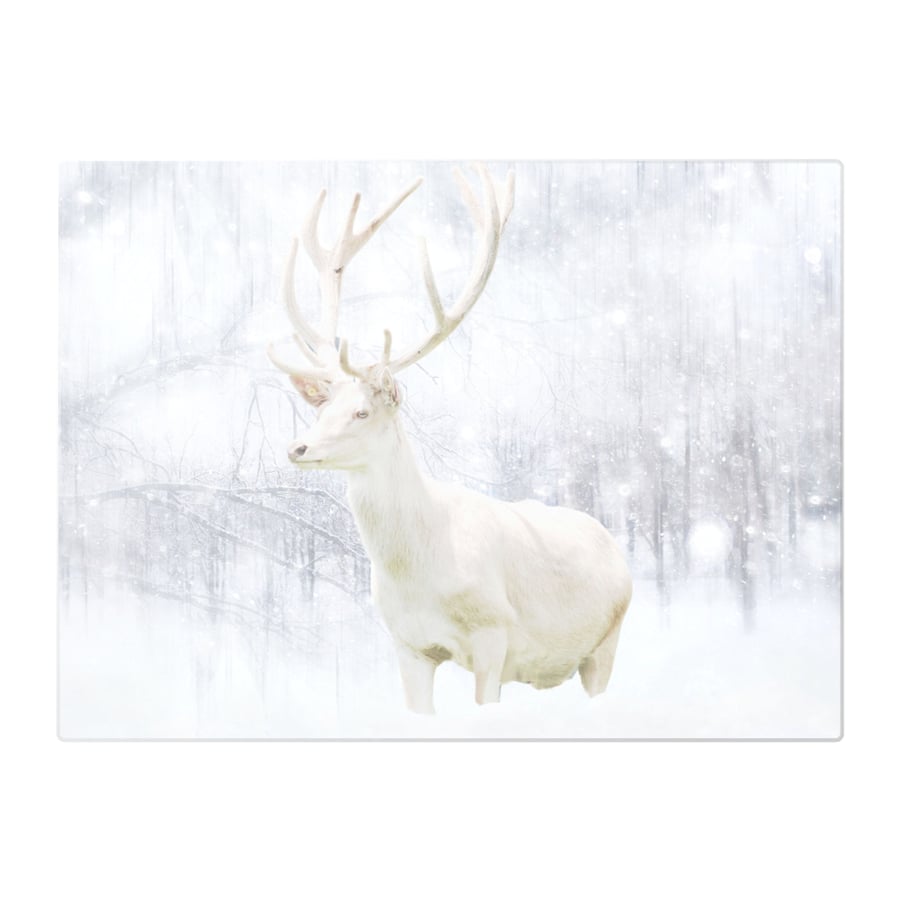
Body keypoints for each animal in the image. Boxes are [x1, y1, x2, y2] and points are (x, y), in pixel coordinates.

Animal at [267, 164, 632, 714]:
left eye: (361, 411)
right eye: (322, 409)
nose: (298, 448)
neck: (421, 574)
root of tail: (617, 548)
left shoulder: (494, 636)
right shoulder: (407, 644)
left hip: (607, 643)